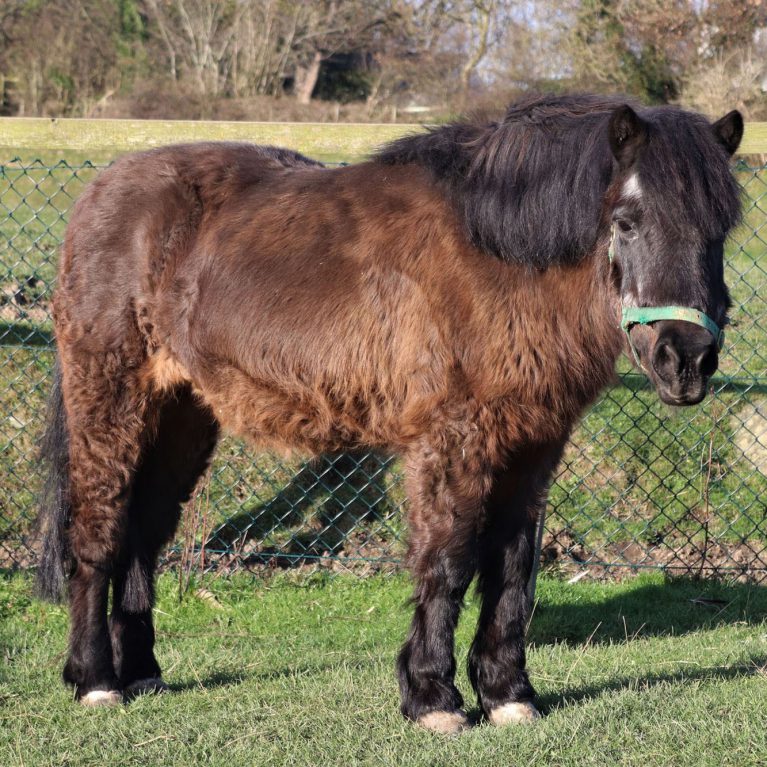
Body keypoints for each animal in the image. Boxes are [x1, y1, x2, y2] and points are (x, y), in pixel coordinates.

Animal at [37, 94, 744, 732]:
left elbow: (513, 568)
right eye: (626, 220)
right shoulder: (453, 440)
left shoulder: (534, 446)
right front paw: (434, 698)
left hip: (184, 414)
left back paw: (143, 674)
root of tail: (99, 191)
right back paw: (95, 680)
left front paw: (508, 695)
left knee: (144, 536)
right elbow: (449, 562)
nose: (686, 358)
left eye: (722, 230)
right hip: (110, 399)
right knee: (99, 531)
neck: (498, 258)